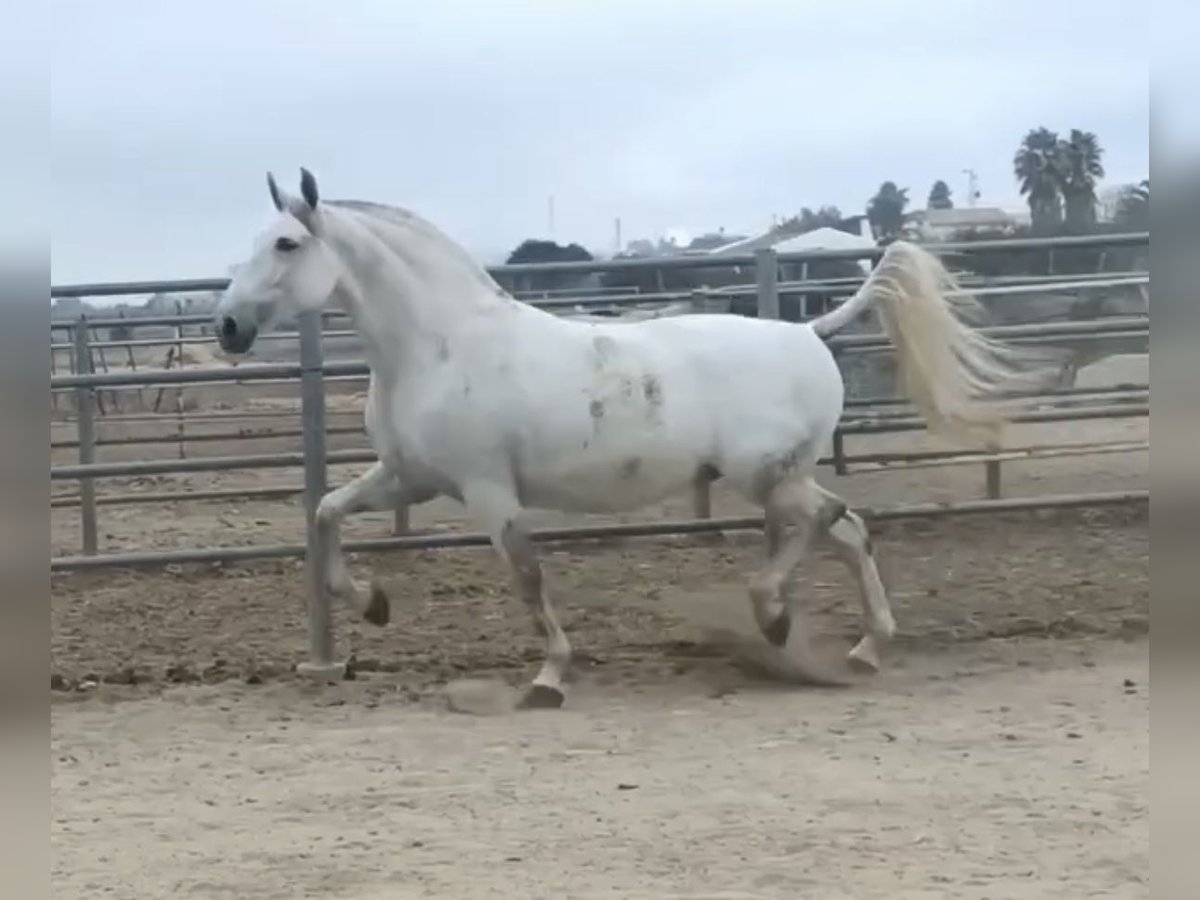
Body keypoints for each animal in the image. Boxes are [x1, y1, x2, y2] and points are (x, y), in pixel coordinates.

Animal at [218, 169, 1060, 710]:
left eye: (287, 244)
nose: (227, 327)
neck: (441, 345)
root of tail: (809, 331)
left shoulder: (488, 491)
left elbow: (527, 577)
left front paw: (548, 679)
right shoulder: (409, 477)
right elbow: (325, 513)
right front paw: (371, 604)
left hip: (766, 474)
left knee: (827, 521)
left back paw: (775, 616)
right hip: (778, 474)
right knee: (850, 527)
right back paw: (862, 647)